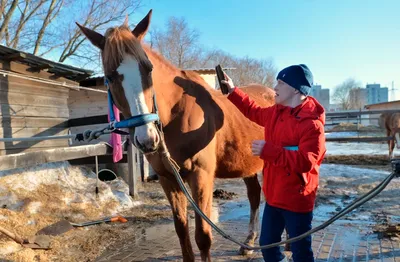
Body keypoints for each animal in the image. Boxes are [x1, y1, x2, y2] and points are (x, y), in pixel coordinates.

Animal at [76, 9, 276, 260]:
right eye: (110, 76)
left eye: (148, 68)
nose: (148, 139)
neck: (177, 113)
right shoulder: (168, 178)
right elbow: (182, 230)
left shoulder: (201, 176)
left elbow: (203, 236)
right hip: (247, 164)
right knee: (254, 195)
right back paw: (248, 242)